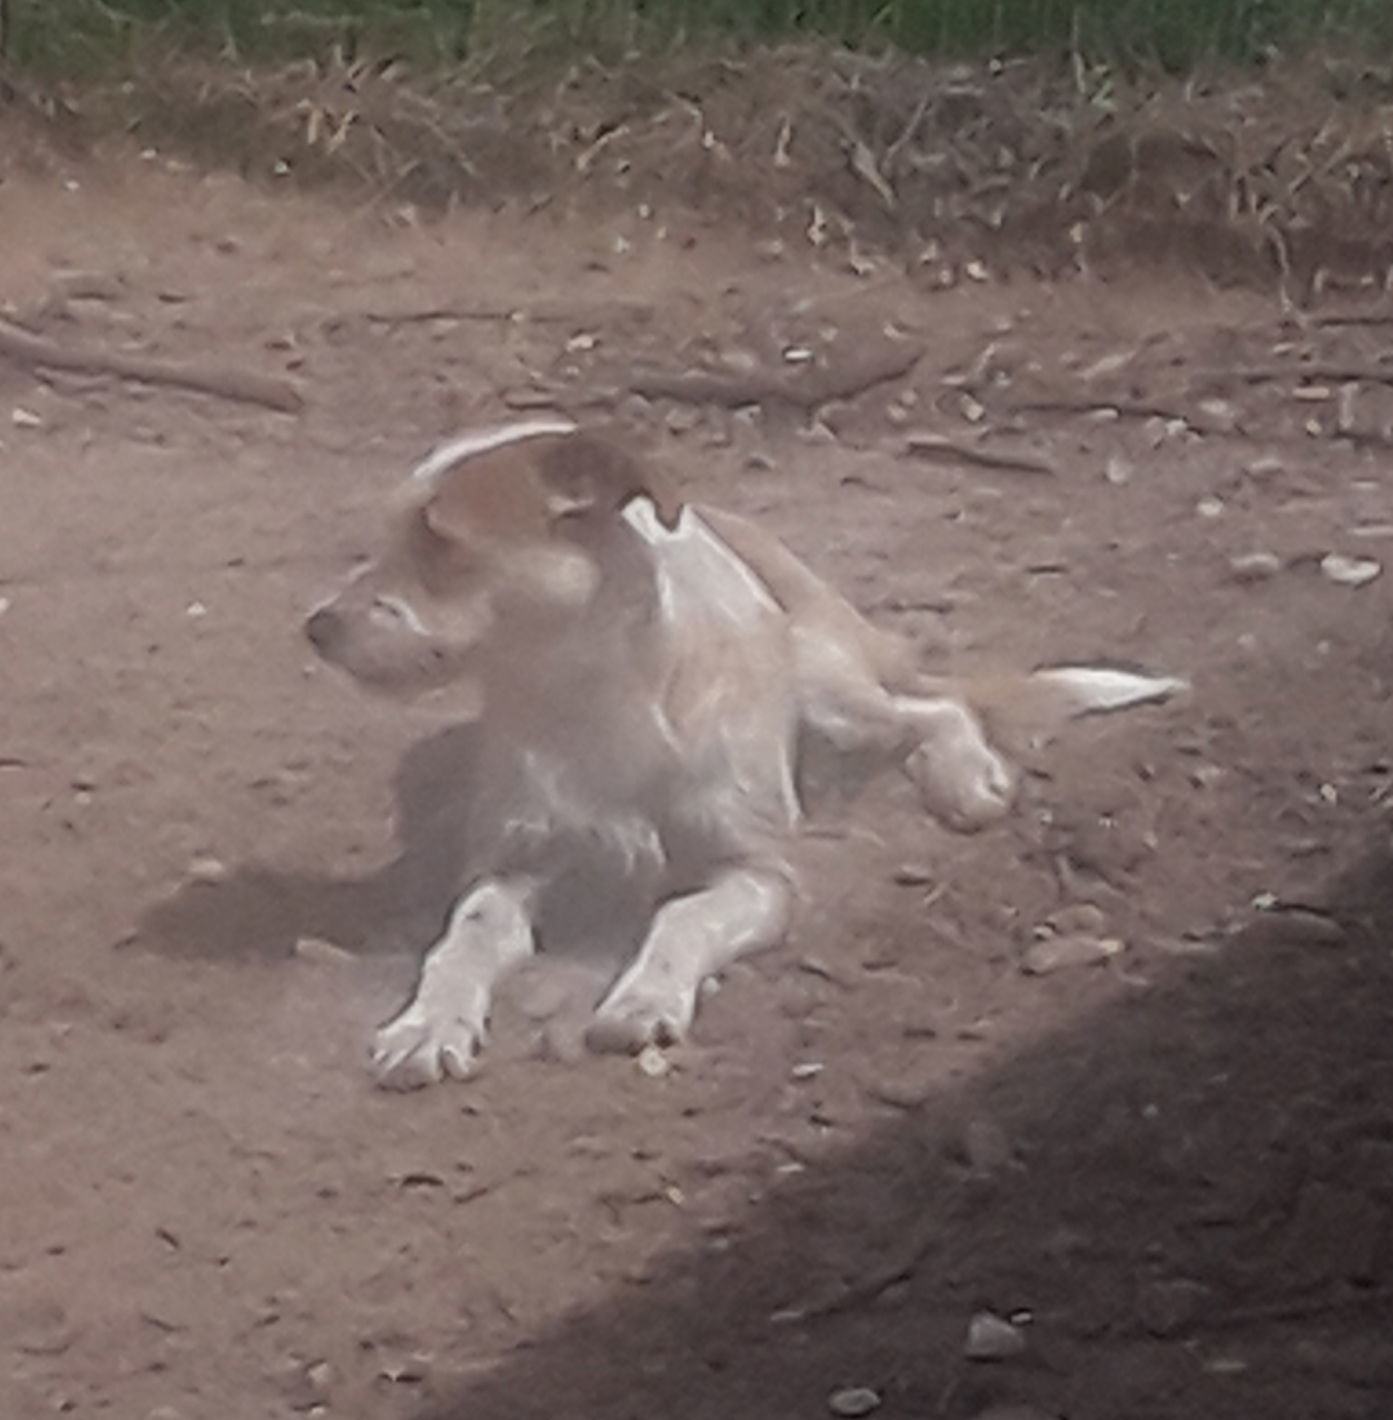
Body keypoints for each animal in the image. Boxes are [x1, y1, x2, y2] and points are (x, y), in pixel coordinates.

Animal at [306, 417, 1187, 1084]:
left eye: (440, 543)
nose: (315, 627)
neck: (595, 693)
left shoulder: (759, 875)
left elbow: (682, 916)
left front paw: (642, 999)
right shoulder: (517, 861)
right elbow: (464, 937)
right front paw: (427, 1022)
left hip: (827, 683)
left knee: (934, 707)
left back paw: (961, 777)